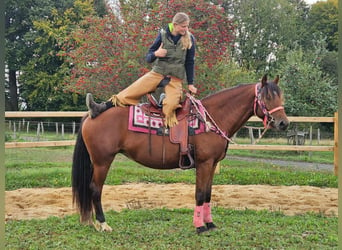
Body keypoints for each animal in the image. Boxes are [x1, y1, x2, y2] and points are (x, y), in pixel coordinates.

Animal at [71, 74, 288, 234]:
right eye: (267, 97)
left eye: (281, 96)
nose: (283, 123)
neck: (211, 119)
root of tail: (91, 115)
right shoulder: (204, 163)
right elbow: (199, 194)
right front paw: (199, 227)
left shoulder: (212, 164)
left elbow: (208, 194)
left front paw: (210, 224)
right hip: (102, 161)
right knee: (95, 189)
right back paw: (103, 224)